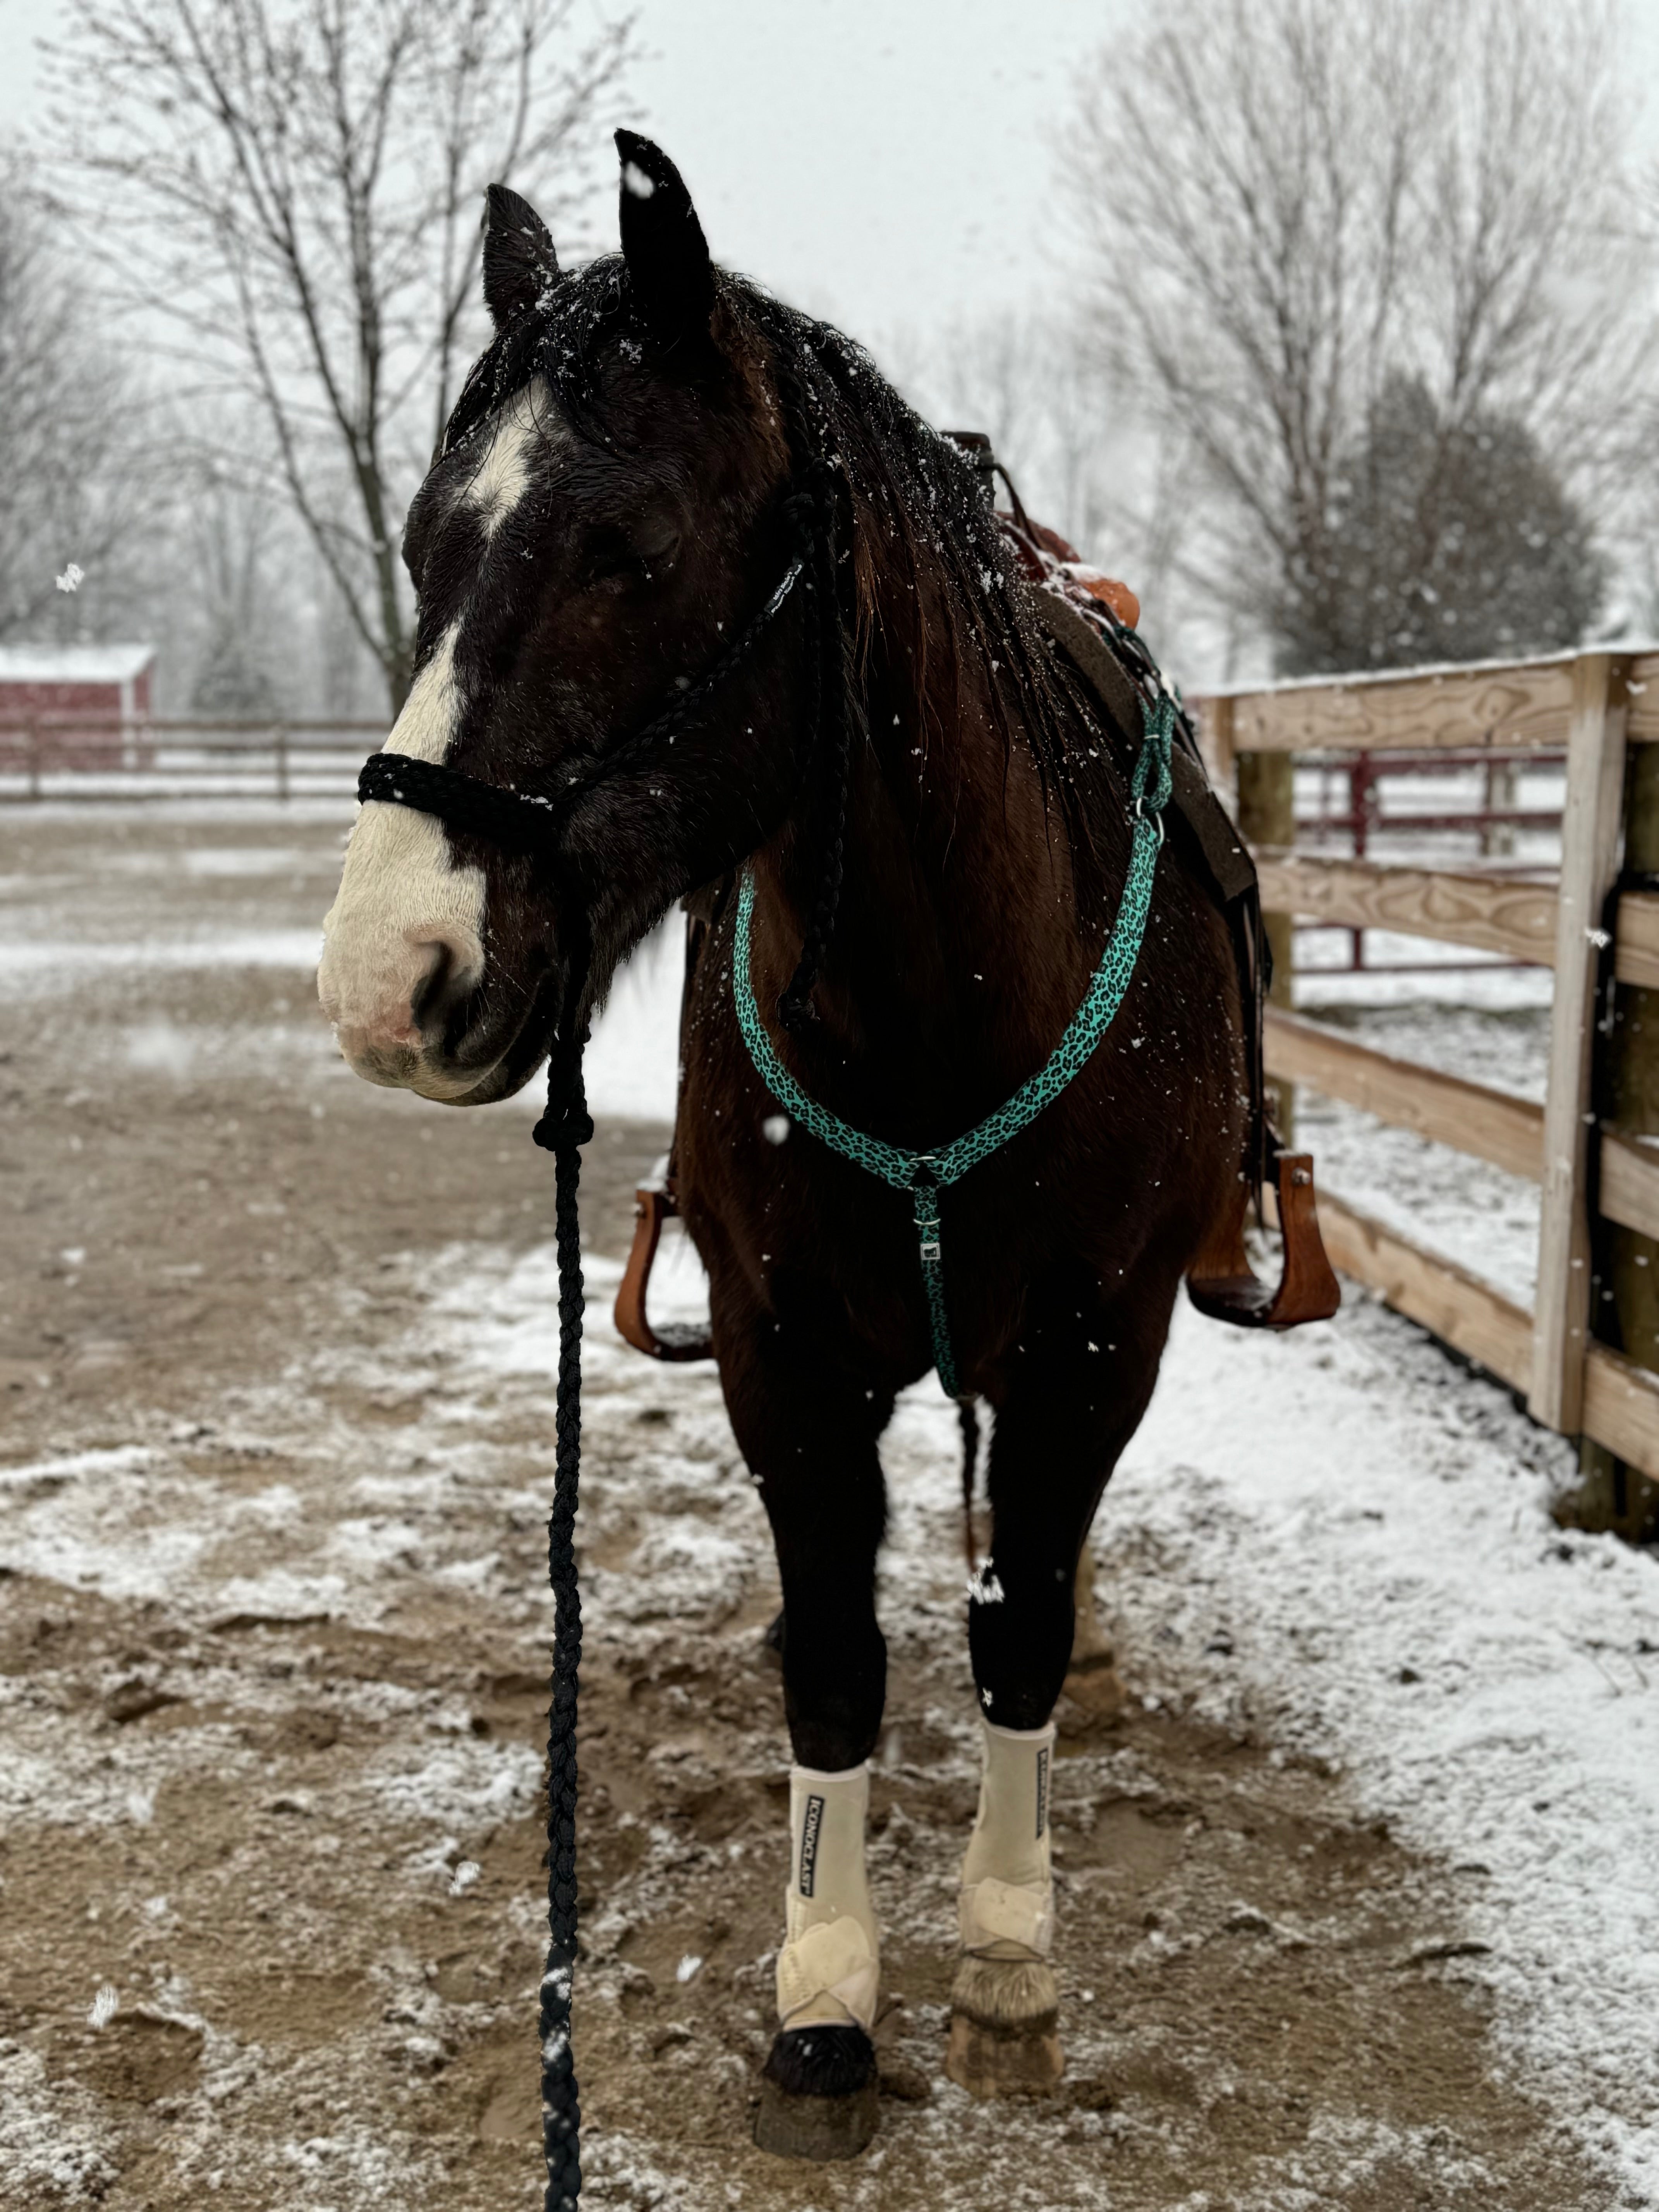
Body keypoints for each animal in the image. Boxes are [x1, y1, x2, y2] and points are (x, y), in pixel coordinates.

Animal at [318, 134, 1256, 2159]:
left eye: (636, 551)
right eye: (430, 546)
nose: (388, 978)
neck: (941, 1005)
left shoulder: (1091, 1344)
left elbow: (1019, 1629)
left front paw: (1006, 1958)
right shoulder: (787, 1355)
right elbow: (833, 1660)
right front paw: (826, 2001)